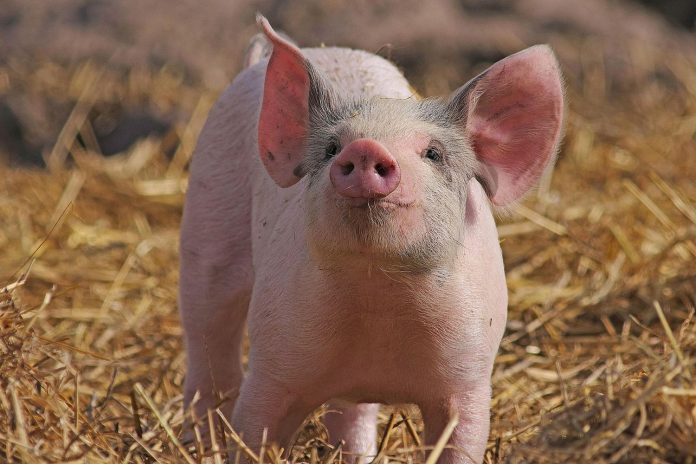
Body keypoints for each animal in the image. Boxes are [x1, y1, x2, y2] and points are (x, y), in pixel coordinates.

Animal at [179, 14, 563, 464]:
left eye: (433, 153)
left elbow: (460, 440)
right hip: (208, 223)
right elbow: (253, 432)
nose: (365, 148)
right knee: (208, 344)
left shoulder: (468, 378)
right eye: (331, 148)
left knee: (350, 413)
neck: (378, 295)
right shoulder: (273, 366)